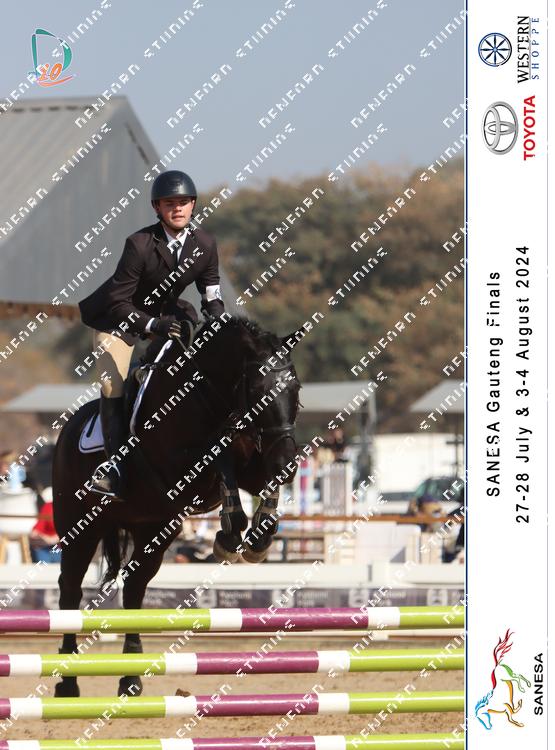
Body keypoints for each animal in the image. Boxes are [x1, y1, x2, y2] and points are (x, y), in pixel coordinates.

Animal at [52, 314, 302, 698]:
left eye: (296, 389)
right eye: (260, 391)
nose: (289, 463)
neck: (209, 396)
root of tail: (67, 432)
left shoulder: (253, 464)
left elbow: (259, 480)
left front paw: (257, 539)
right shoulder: (179, 468)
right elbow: (219, 452)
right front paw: (230, 534)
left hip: (154, 528)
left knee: (135, 588)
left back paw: (130, 678)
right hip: (80, 528)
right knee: (70, 591)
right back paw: (67, 682)